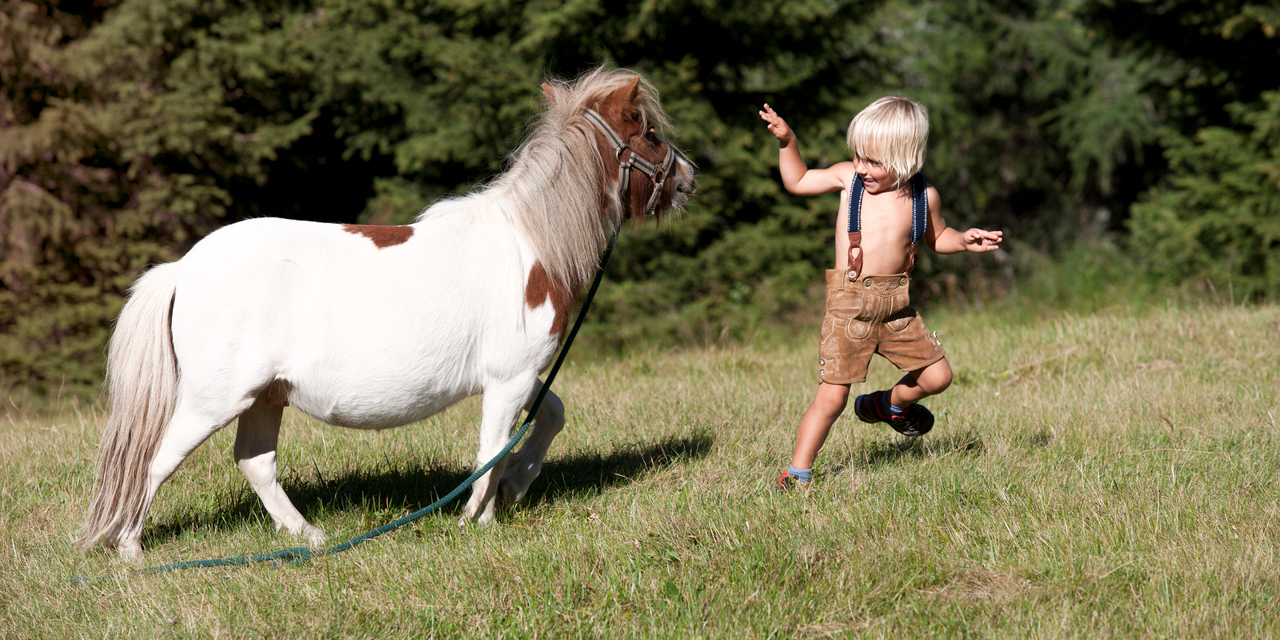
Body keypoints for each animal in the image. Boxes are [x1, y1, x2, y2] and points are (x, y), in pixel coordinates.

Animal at [77, 67, 696, 560]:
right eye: (650, 133)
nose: (690, 177)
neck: (531, 242)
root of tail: (183, 268)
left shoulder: (520, 377)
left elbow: (550, 417)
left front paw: (515, 488)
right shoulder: (510, 379)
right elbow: (492, 449)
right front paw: (478, 518)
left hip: (264, 396)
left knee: (255, 462)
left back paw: (310, 537)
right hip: (214, 398)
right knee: (156, 462)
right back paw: (131, 549)